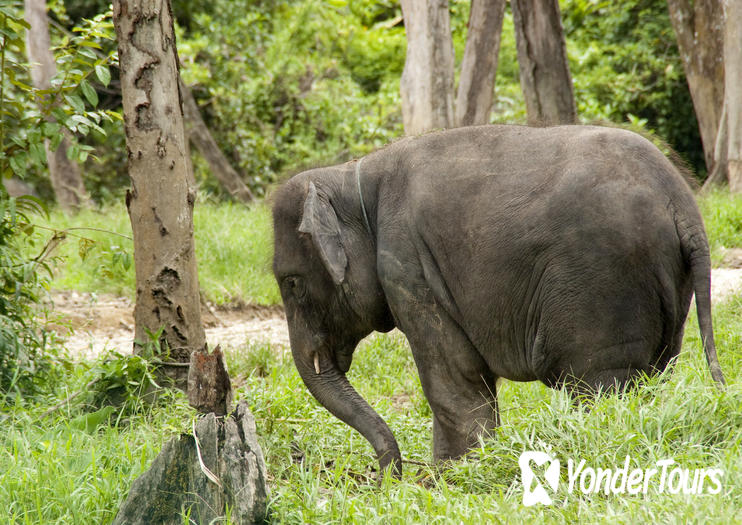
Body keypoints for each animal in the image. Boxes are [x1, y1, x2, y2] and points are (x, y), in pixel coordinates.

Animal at [272, 125, 728, 476]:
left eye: (292, 283)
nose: (387, 476)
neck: (352, 176)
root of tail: (684, 206)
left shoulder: (407, 267)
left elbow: (453, 376)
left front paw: (453, 479)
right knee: (654, 375)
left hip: (607, 284)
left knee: (599, 384)